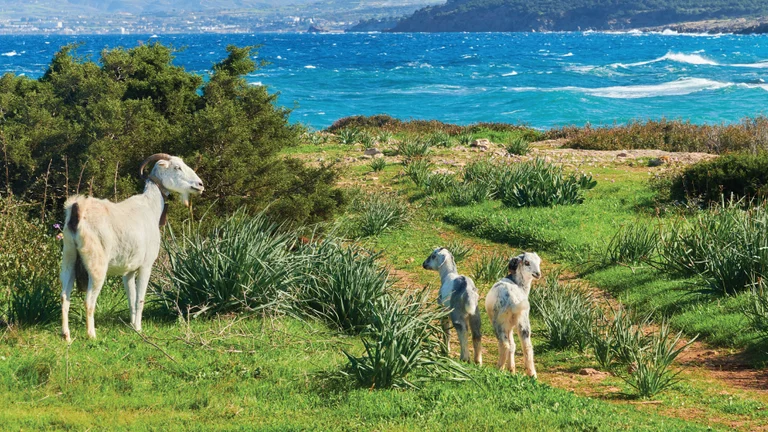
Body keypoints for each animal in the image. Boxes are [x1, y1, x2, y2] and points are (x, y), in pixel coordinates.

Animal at [60, 154, 203, 342]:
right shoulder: (146, 266)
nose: (200, 185)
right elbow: (140, 299)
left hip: (69, 257)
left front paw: (133, 326)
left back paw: (66, 335)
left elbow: (132, 299)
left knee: (64, 297)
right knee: (89, 300)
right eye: (177, 167)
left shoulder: (128, 271)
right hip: (96, 264)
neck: (150, 207)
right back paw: (91, 334)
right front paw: (139, 328)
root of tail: (77, 210)